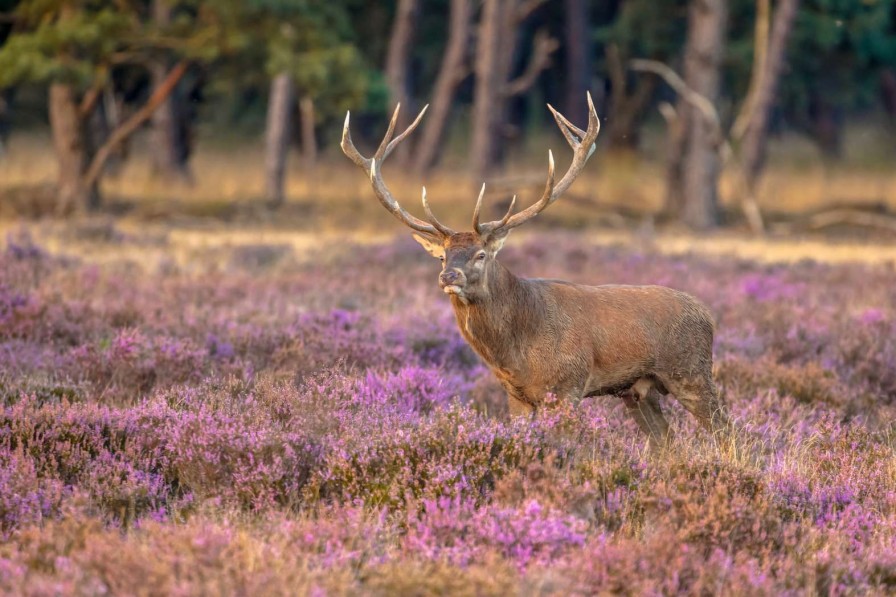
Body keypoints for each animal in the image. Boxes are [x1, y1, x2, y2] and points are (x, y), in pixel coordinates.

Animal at [342, 94, 728, 448]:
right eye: (442, 257)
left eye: (481, 254)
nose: (449, 276)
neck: (518, 351)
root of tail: (708, 314)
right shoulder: (516, 395)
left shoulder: (568, 385)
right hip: (638, 389)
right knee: (665, 440)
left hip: (691, 371)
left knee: (725, 427)